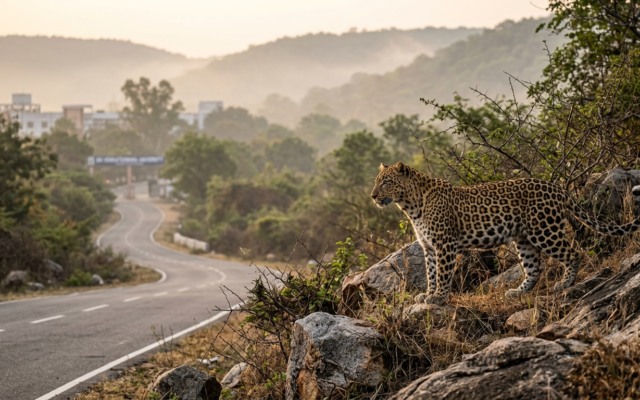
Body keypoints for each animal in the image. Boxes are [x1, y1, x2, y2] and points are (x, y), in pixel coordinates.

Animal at [370, 161, 640, 305]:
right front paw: (428, 295)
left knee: (573, 252)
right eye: (376, 180)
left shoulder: (444, 245)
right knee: (534, 269)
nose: (373, 196)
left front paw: (438, 298)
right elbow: (431, 273)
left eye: (386, 182)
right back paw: (517, 292)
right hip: (524, 239)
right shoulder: (428, 247)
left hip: (544, 231)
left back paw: (565, 283)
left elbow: (444, 274)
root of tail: (557, 187)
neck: (410, 206)